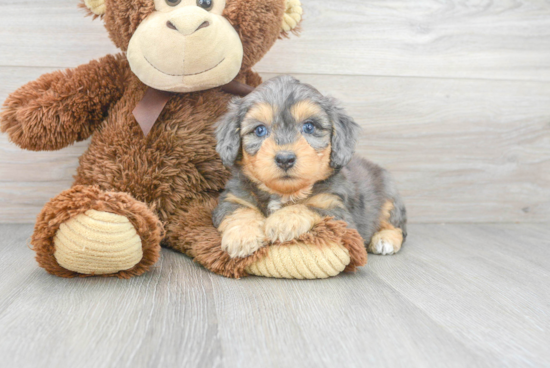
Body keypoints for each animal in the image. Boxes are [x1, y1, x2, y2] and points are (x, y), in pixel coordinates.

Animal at [213, 75, 408, 258]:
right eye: (260, 130)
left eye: (309, 127)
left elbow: (309, 207)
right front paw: (242, 236)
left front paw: (282, 220)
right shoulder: (234, 198)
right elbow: (239, 211)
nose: (285, 159)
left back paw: (385, 239)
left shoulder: (337, 210)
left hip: (389, 199)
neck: (284, 194)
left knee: (397, 226)